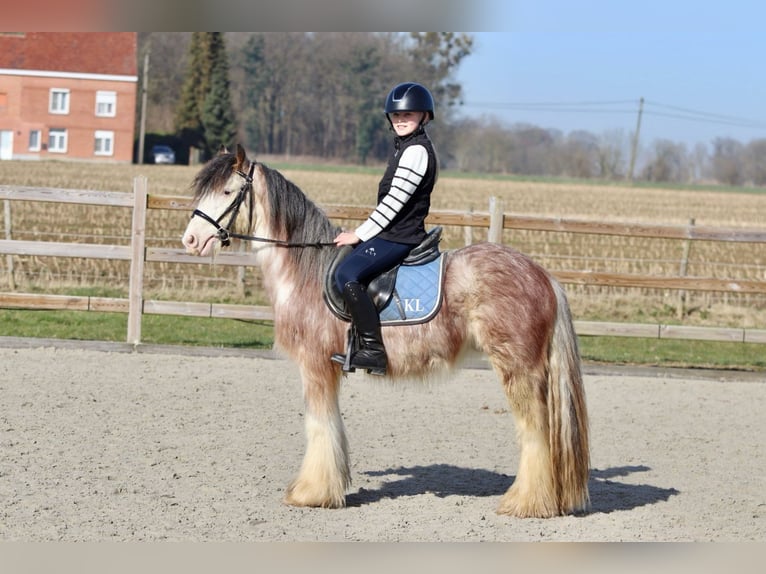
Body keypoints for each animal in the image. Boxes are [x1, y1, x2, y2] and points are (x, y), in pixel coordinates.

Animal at [183, 145, 592, 520]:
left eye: (227, 191)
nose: (189, 241)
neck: (306, 271)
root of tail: (543, 276)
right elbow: (331, 426)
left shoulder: (315, 365)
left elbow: (320, 425)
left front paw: (312, 492)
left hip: (517, 368)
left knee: (535, 431)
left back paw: (526, 503)